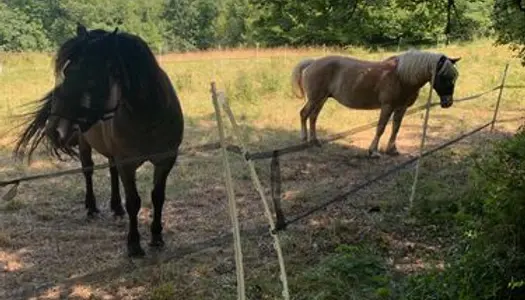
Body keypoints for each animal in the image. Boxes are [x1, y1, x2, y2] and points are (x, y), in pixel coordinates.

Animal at [12, 24, 184, 258]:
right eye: (66, 72)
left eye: (91, 78)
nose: (53, 130)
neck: (149, 115)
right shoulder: (127, 164)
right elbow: (134, 202)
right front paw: (134, 244)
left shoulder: (165, 160)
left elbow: (158, 197)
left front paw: (157, 237)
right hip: (86, 146)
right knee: (88, 171)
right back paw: (92, 208)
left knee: (111, 171)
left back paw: (116, 208)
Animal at [290, 49, 458, 157]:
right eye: (443, 76)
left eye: (455, 76)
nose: (448, 102)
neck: (401, 76)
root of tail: (312, 63)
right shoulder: (387, 106)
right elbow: (381, 127)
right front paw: (373, 151)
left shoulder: (401, 108)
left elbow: (396, 128)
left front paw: (392, 150)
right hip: (315, 98)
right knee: (304, 114)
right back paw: (304, 139)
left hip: (321, 99)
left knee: (313, 117)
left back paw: (315, 141)